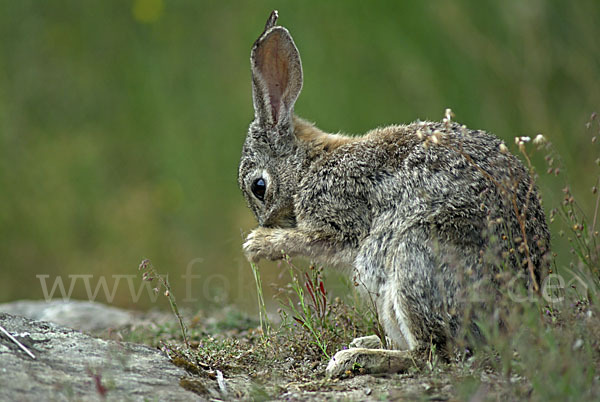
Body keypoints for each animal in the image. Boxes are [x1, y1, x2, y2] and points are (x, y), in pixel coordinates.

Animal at [238, 11, 548, 378]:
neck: (308, 165)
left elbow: (314, 240)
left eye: (259, 187)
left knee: (432, 354)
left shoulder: (340, 215)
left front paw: (259, 245)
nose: (267, 224)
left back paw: (355, 358)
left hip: (415, 259)